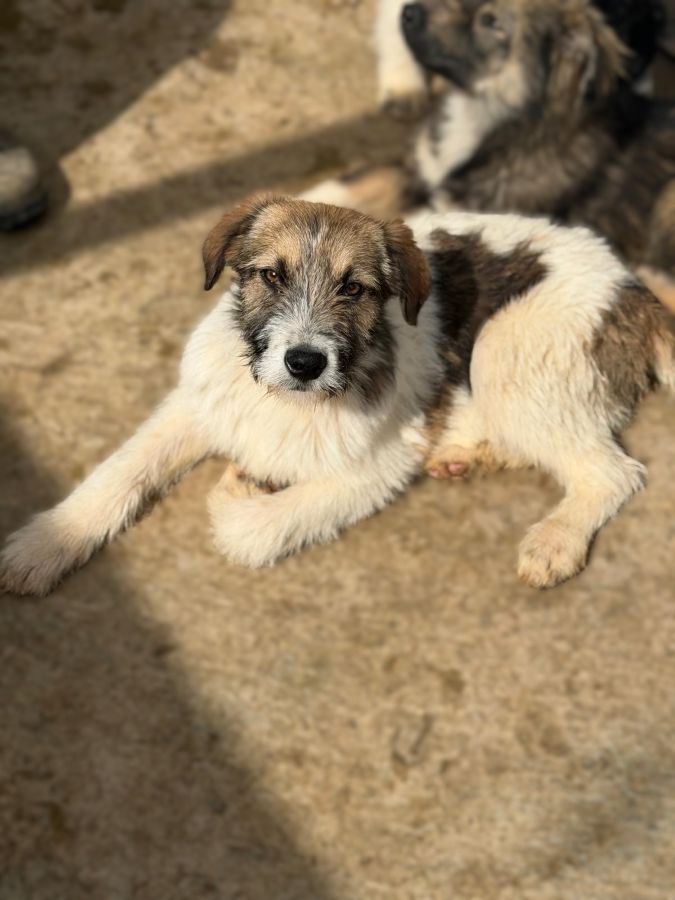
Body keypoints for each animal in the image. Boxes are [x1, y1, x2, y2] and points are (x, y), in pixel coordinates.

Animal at [1, 195, 673, 596]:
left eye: (354, 288)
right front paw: (45, 544)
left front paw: (238, 493)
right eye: (272, 275)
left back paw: (554, 540)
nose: (304, 362)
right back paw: (469, 454)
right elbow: (120, 470)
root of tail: (636, 290)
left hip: (508, 348)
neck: (284, 400)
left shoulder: (376, 466)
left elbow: (256, 531)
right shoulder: (197, 405)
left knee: (611, 472)